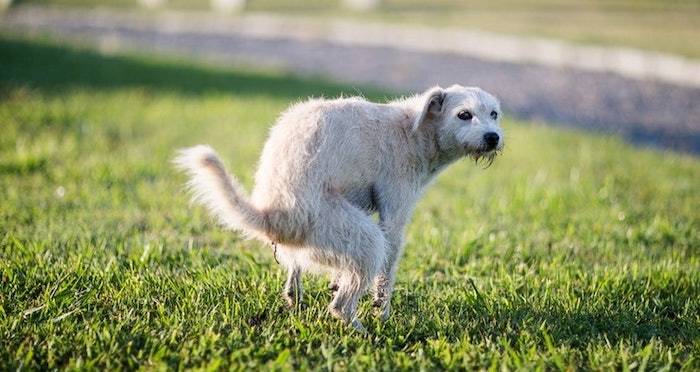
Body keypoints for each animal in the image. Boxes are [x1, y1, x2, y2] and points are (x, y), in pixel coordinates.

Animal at [175, 84, 504, 332]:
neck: (414, 130)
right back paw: (362, 331)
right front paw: (382, 310)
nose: (494, 137)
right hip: (361, 237)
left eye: (494, 114)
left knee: (300, 271)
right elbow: (387, 273)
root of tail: (274, 216)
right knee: (341, 306)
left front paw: (336, 283)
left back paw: (300, 295)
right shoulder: (393, 216)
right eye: (464, 115)